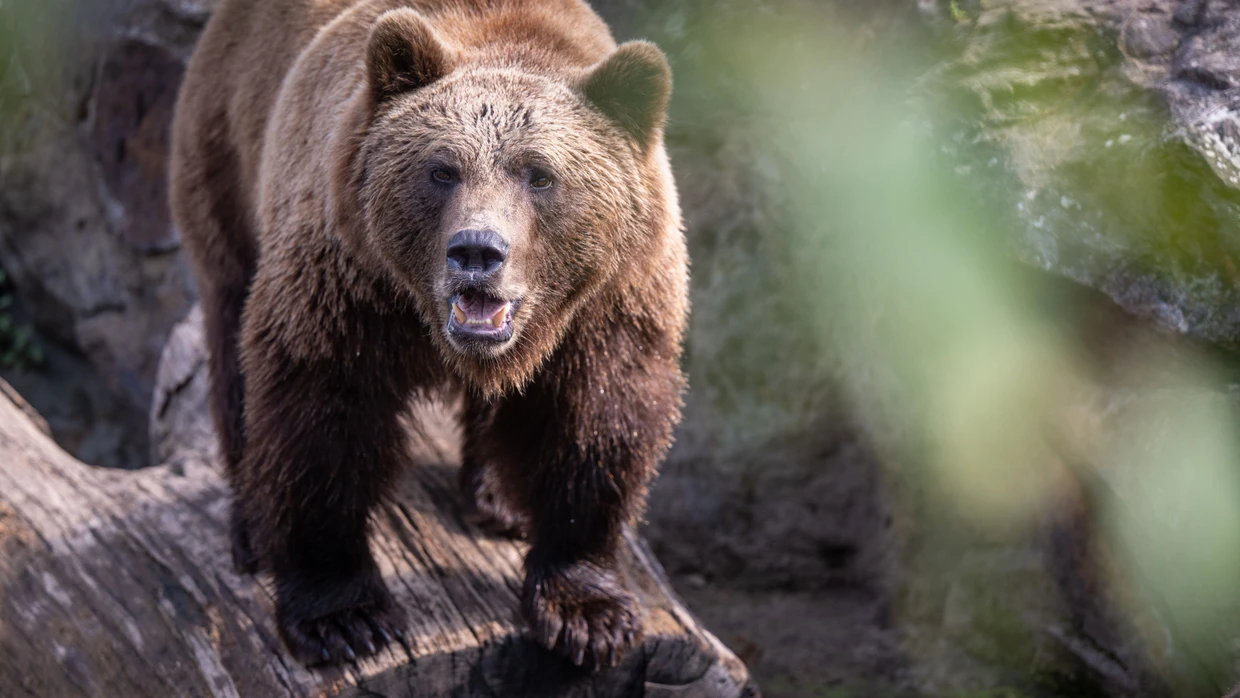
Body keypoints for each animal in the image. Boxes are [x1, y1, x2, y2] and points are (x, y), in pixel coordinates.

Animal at [169, 0, 686, 670]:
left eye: (539, 175)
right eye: (442, 170)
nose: (477, 252)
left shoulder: (609, 302)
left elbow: (596, 422)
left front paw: (586, 611)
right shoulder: (349, 281)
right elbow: (319, 416)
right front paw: (342, 615)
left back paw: (500, 498)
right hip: (227, 151)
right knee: (233, 335)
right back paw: (252, 525)